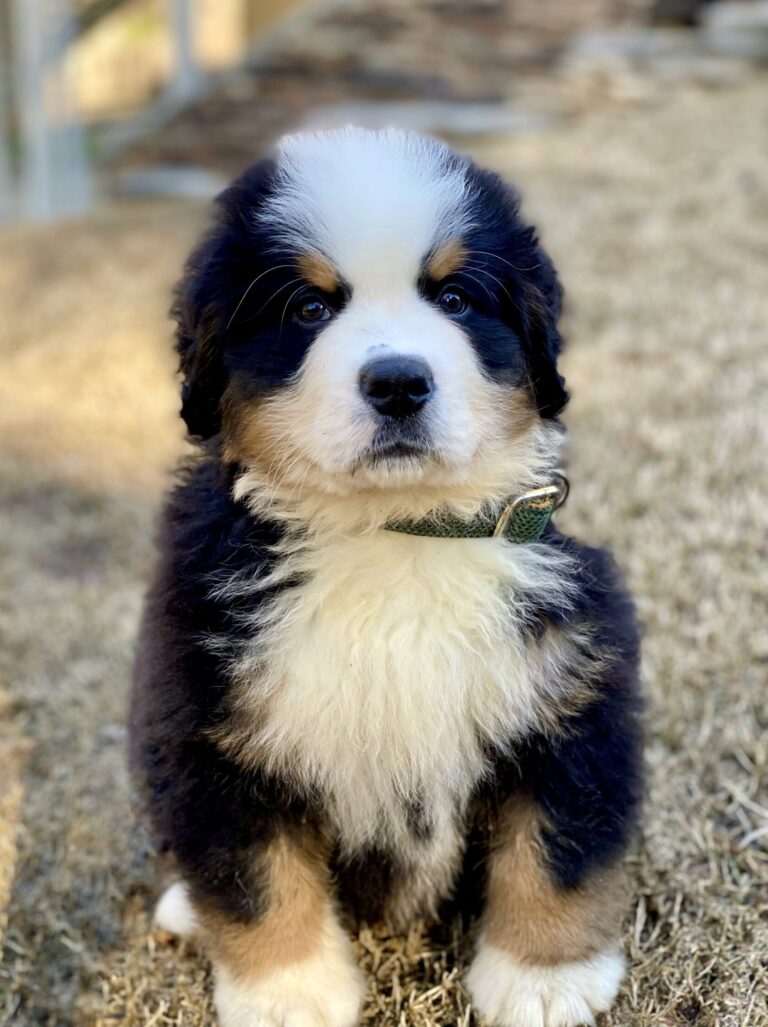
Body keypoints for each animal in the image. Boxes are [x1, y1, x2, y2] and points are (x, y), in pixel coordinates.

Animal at [130, 130, 640, 1027]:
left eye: (456, 298)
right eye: (308, 309)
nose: (399, 381)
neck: (393, 534)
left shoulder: (572, 680)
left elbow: (558, 844)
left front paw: (545, 979)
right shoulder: (206, 717)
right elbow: (254, 873)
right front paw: (287, 994)